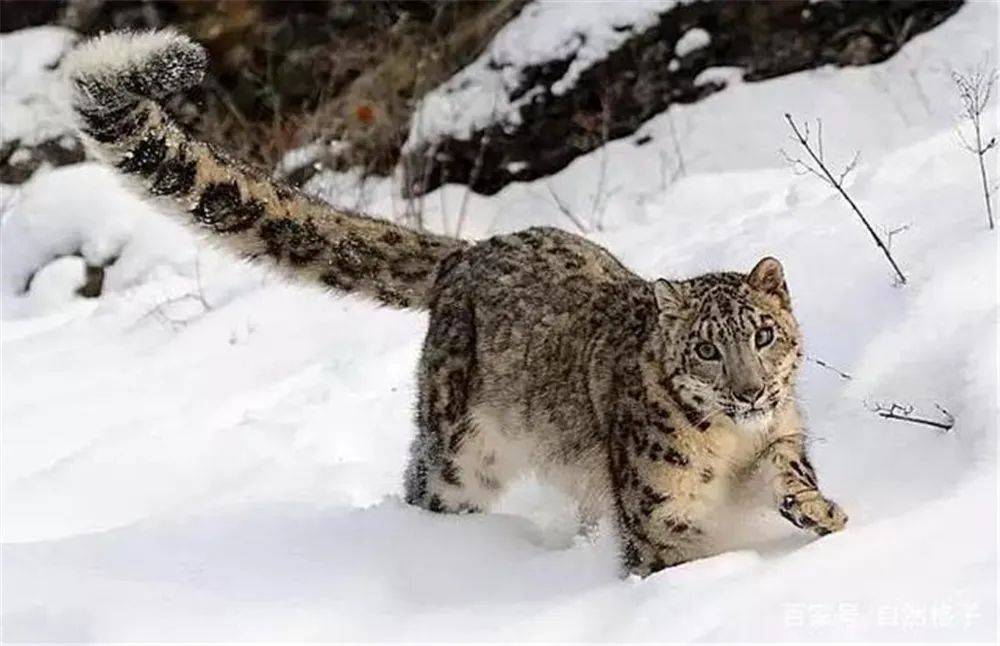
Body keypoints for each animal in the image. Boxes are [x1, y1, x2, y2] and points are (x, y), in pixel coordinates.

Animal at [64, 29, 844, 576]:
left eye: (763, 335)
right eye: (707, 349)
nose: (749, 391)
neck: (730, 447)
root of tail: (472, 251)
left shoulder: (778, 439)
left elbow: (789, 467)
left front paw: (819, 511)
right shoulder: (662, 521)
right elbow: (678, 561)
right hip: (459, 452)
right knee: (426, 484)